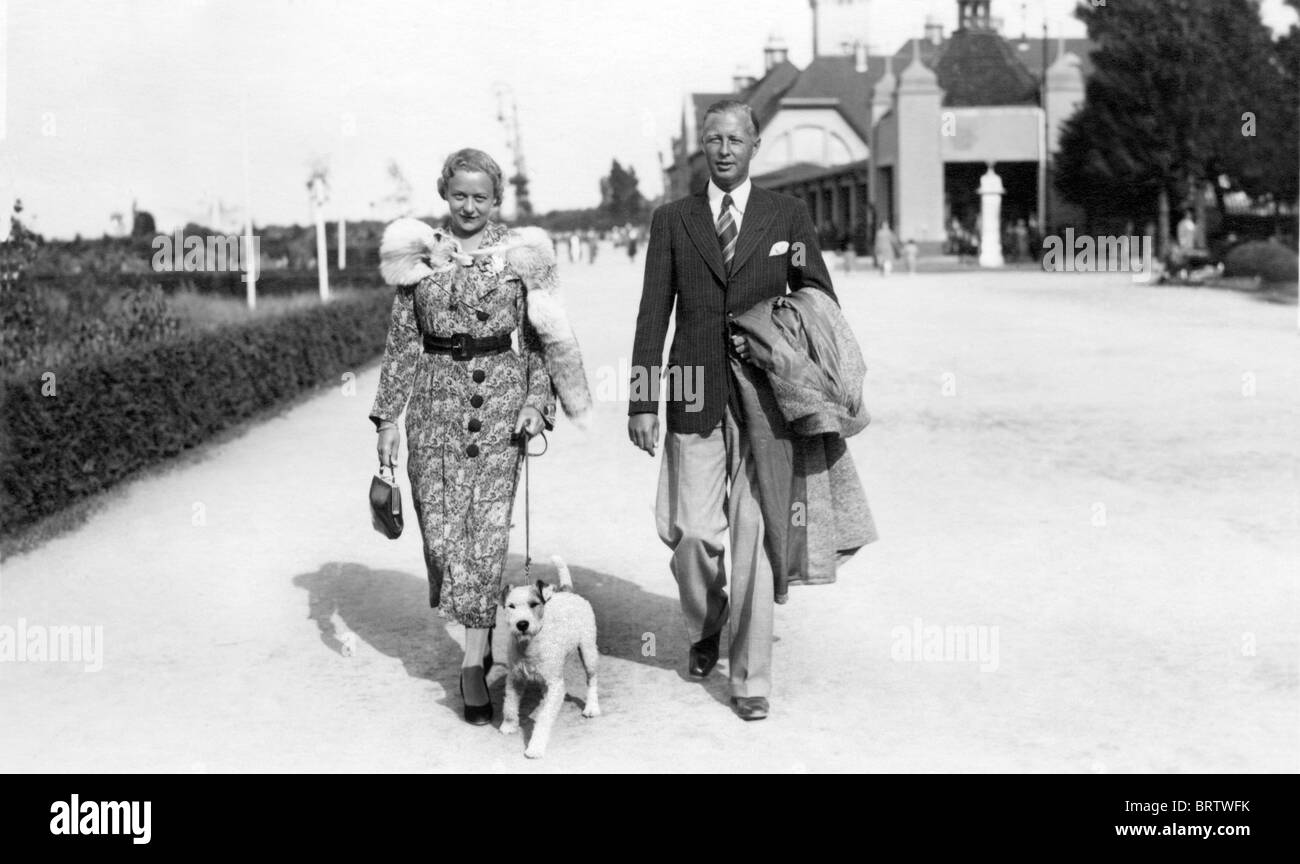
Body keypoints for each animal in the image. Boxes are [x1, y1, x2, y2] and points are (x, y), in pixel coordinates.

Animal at [499, 556, 600, 758]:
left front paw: (535, 747)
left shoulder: (555, 684)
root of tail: (568, 592)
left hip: (588, 651)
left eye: (533, 604)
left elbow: (544, 718)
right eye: (511, 606)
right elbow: (510, 704)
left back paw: (592, 708)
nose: (522, 624)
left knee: (592, 679)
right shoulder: (514, 678)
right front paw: (509, 726)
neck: (529, 645)